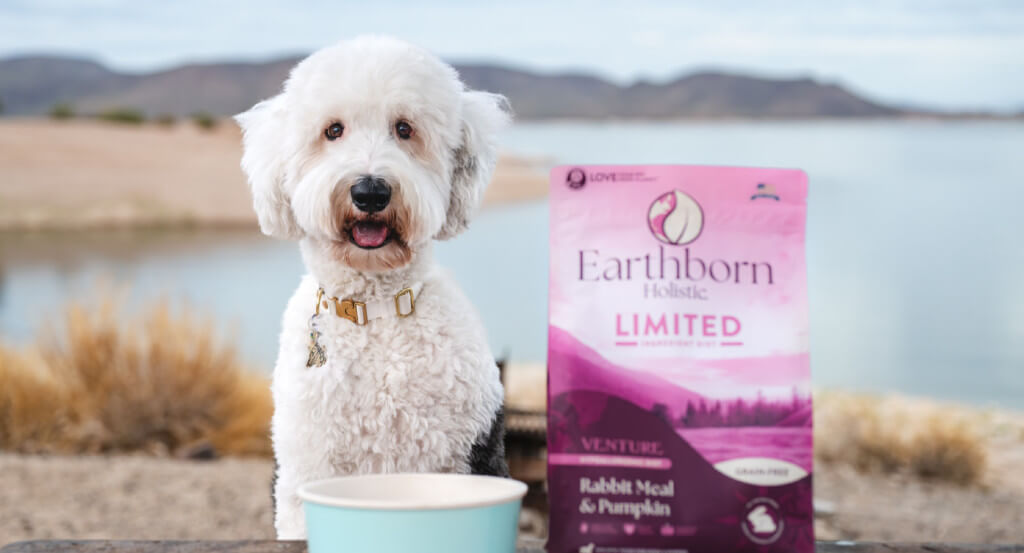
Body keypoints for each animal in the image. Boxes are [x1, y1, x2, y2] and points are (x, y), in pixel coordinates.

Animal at [237, 36, 512, 536]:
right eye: (333, 131)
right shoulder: (306, 469)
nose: (370, 191)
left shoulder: (469, 451)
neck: (378, 312)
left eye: (404, 129)